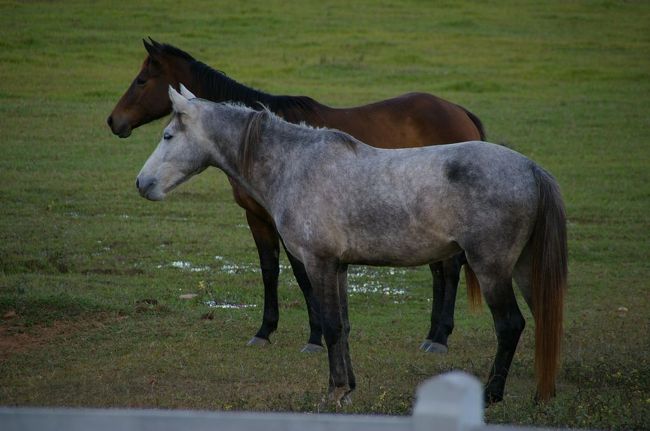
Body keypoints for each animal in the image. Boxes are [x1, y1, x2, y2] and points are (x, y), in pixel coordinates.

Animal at [108, 38, 486, 353]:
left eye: (141, 80)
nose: (114, 122)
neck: (267, 148)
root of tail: (459, 111)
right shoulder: (258, 218)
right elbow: (269, 271)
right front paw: (264, 331)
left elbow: (303, 277)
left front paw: (315, 336)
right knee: (439, 271)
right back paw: (432, 333)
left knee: (450, 270)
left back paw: (440, 337)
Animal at [136, 86, 567, 404]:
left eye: (167, 135)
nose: (142, 183)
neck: (295, 164)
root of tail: (531, 168)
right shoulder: (339, 268)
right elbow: (342, 327)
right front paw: (349, 387)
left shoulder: (319, 263)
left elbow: (328, 326)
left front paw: (335, 391)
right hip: (523, 269)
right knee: (542, 318)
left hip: (491, 268)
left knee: (510, 325)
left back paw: (493, 394)